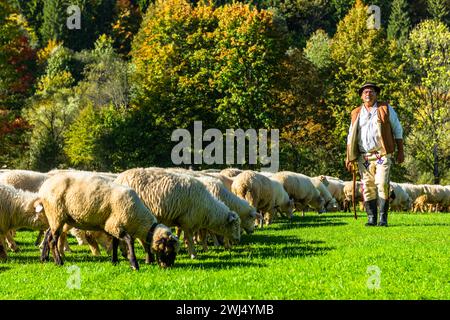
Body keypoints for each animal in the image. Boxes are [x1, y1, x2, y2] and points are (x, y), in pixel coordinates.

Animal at [35, 172, 179, 270]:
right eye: (168, 251)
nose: (168, 267)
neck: (138, 219)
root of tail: (44, 187)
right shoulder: (114, 224)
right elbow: (128, 240)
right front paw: (134, 264)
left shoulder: (113, 226)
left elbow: (115, 243)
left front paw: (114, 261)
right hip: (56, 213)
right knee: (52, 240)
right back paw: (59, 262)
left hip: (57, 217)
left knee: (48, 234)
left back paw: (44, 258)